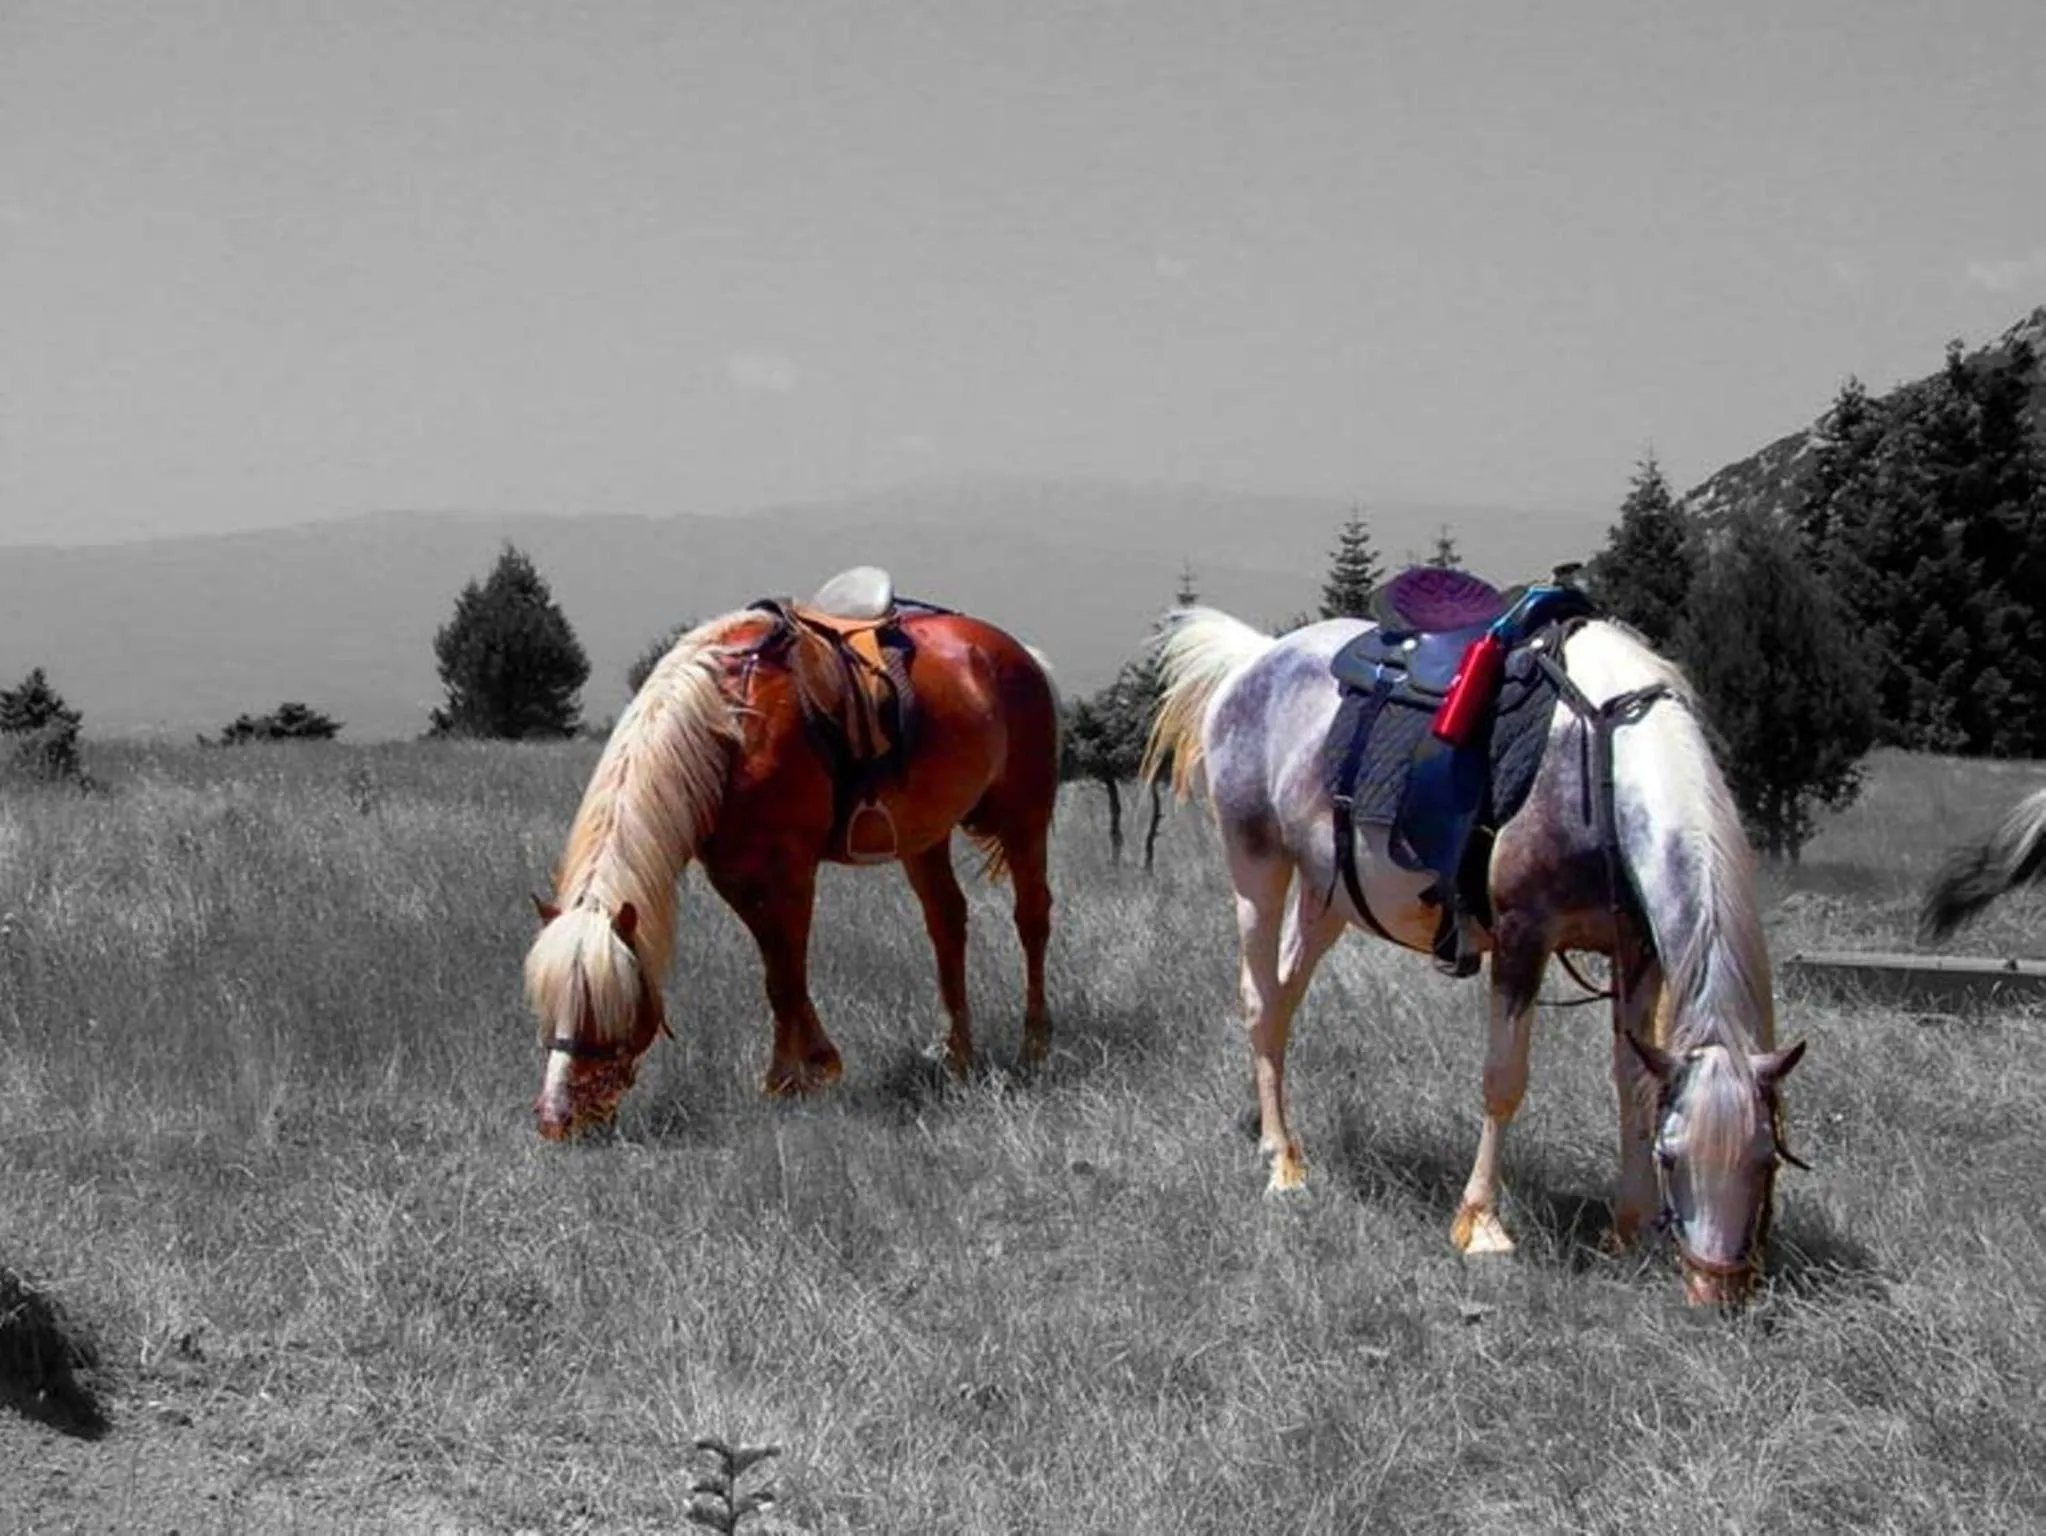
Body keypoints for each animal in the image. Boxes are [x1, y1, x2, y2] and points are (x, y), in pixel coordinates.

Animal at [524, 569, 1061, 1140]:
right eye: (547, 1004)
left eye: (602, 1006)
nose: (556, 1118)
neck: (731, 724)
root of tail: (1017, 653)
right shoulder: (736, 875)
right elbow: (778, 971)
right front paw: (809, 1069)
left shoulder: (790, 868)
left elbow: (786, 976)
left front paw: (790, 1078)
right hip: (925, 837)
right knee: (947, 923)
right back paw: (958, 1054)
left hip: (1024, 820)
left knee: (1031, 918)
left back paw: (1034, 1045)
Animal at [1142, 598, 1807, 1306]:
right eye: (1674, 1157)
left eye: (1766, 1159)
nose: (1715, 1296)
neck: (1596, 765)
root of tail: (1254, 659)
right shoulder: (1522, 939)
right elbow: (1503, 1081)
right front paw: (1481, 1223)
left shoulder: (1636, 954)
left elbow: (1633, 1080)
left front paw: (1628, 1227)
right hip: (1257, 872)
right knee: (1260, 1001)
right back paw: (1281, 1161)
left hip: (1328, 899)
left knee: (1285, 998)